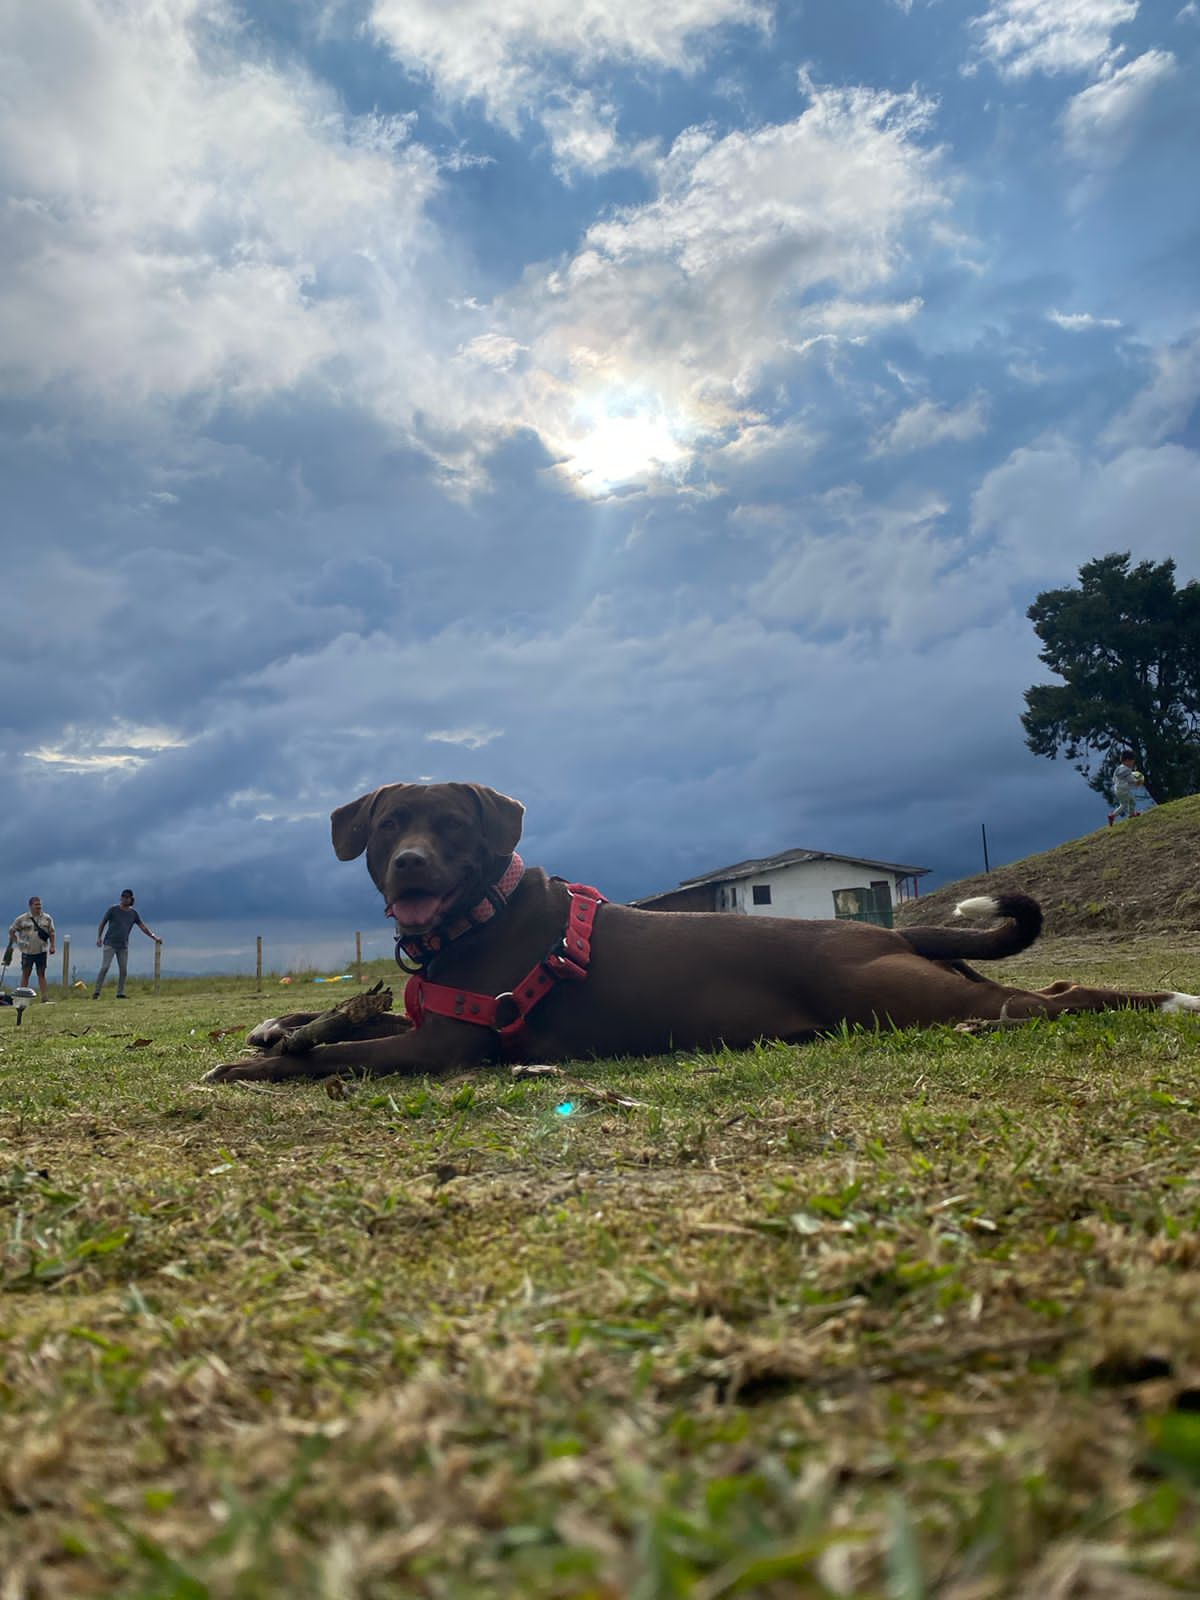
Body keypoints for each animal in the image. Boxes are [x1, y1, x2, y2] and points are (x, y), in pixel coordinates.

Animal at [206, 780, 1200, 1081]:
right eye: (386, 828)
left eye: (451, 826)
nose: (411, 864)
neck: (475, 918)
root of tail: (888, 936)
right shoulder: (430, 1015)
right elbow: (340, 1024)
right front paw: (277, 1027)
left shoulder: (447, 1044)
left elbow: (340, 1055)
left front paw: (259, 1064)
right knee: (1047, 990)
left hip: (892, 995)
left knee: (1055, 1000)